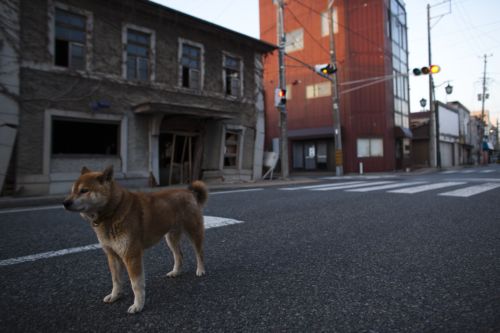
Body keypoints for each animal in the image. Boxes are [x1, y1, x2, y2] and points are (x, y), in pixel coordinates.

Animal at [62, 166, 207, 314]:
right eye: (72, 190)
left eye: (84, 190)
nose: (65, 203)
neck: (113, 212)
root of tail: (188, 192)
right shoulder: (112, 255)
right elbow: (116, 280)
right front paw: (115, 296)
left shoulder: (131, 255)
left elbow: (136, 284)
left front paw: (138, 305)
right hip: (170, 238)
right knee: (179, 255)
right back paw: (176, 272)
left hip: (194, 232)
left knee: (199, 253)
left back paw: (200, 270)